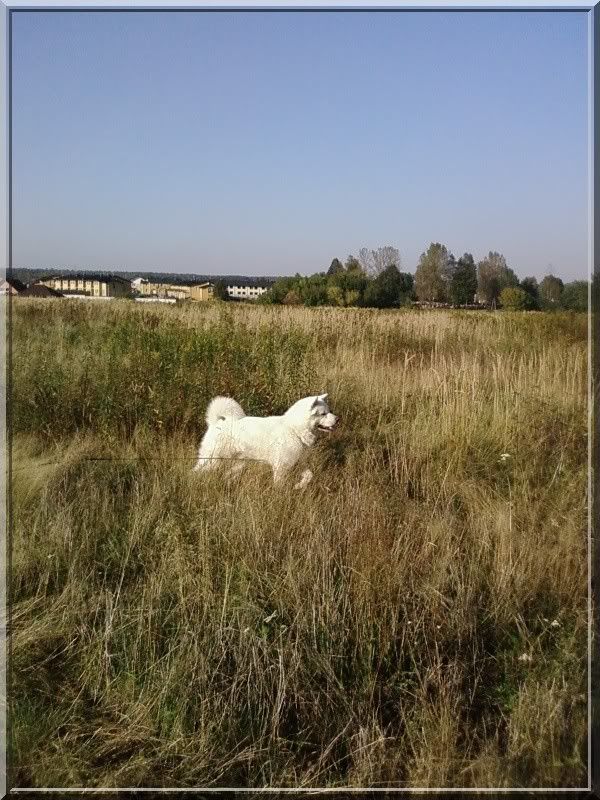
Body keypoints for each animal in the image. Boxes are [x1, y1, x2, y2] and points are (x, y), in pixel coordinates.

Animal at [193, 394, 338, 488]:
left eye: (329, 411)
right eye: (323, 414)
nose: (338, 419)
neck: (294, 428)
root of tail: (215, 423)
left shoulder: (299, 462)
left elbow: (309, 476)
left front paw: (298, 486)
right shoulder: (281, 467)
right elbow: (280, 485)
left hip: (237, 464)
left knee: (227, 474)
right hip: (211, 461)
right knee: (196, 471)